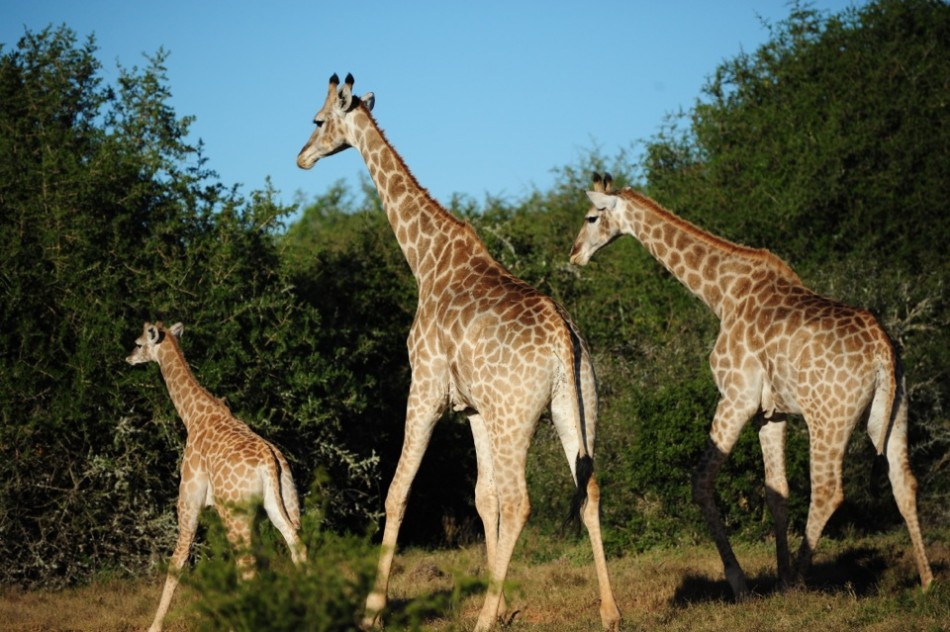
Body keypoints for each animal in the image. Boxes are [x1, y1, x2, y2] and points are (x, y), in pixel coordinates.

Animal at [126, 321, 307, 632]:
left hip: (234, 515)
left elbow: (177, 561)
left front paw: (154, 626)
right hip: (282, 501)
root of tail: (270, 462)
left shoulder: (189, 502)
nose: (128, 358)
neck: (194, 416)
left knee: (247, 569)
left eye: (138, 343)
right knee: (296, 545)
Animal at [297, 74, 621, 631]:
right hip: (577, 405)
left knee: (521, 502)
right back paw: (609, 611)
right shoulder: (473, 409)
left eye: (318, 120)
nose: (301, 157)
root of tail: (564, 337)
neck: (426, 260)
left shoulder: (425, 388)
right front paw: (503, 600)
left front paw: (374, 610)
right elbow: (481, 498)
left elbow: (398, 492)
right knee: (589, 489)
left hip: (516, 416)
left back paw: (483, 621)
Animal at [570, 173, 933, 598]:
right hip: (892, 410)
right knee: (904, 481)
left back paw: (798, 582)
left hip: (829, 417)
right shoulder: (771, 413)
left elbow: (701, 482)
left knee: (828, 490)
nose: (574, 255)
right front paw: (777, 574)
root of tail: (882, 350)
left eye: (592, 217)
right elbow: (777, 492)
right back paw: (926, 580)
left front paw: (740, 580)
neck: (721, 293)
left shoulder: (736, 396)